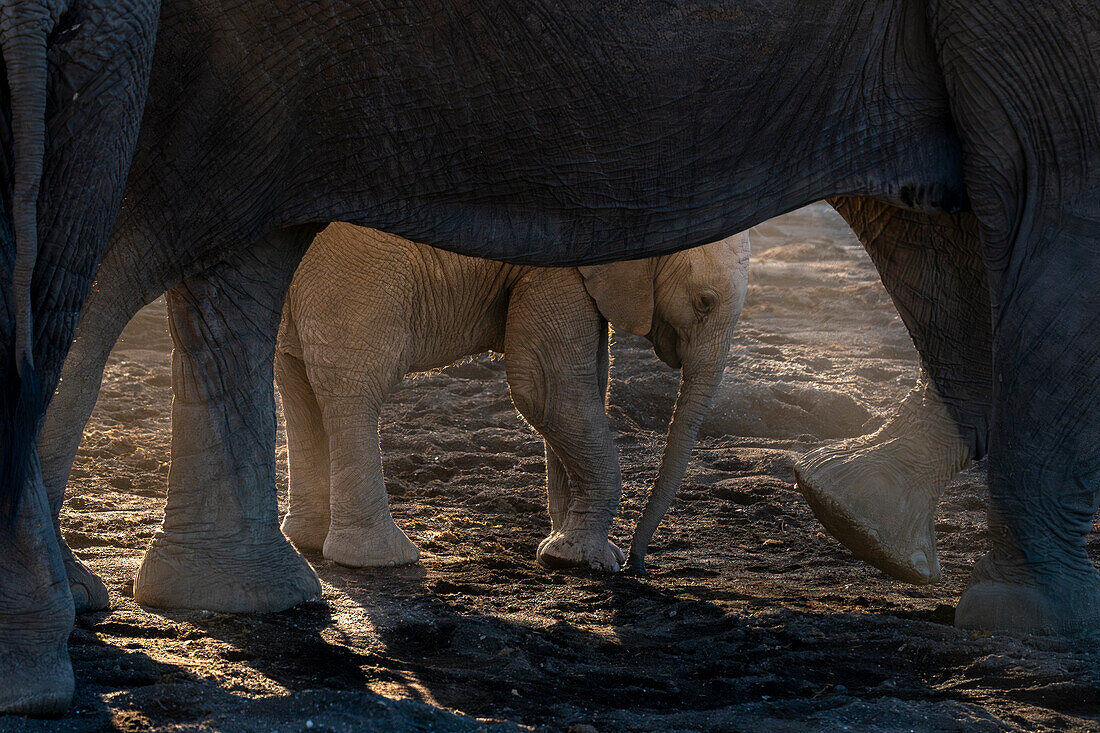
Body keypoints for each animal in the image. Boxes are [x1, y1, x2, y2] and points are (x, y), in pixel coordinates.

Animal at [275, 222, 748, 572]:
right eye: (704, 301)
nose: (638, 564)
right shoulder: (560, 262)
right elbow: (548, 388)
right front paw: (587, 561)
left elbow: (587, 383)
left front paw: (564, 551)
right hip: (358, 267)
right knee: (356, 383)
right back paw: (382, 560)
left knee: (296, 380)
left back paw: (307, 540)